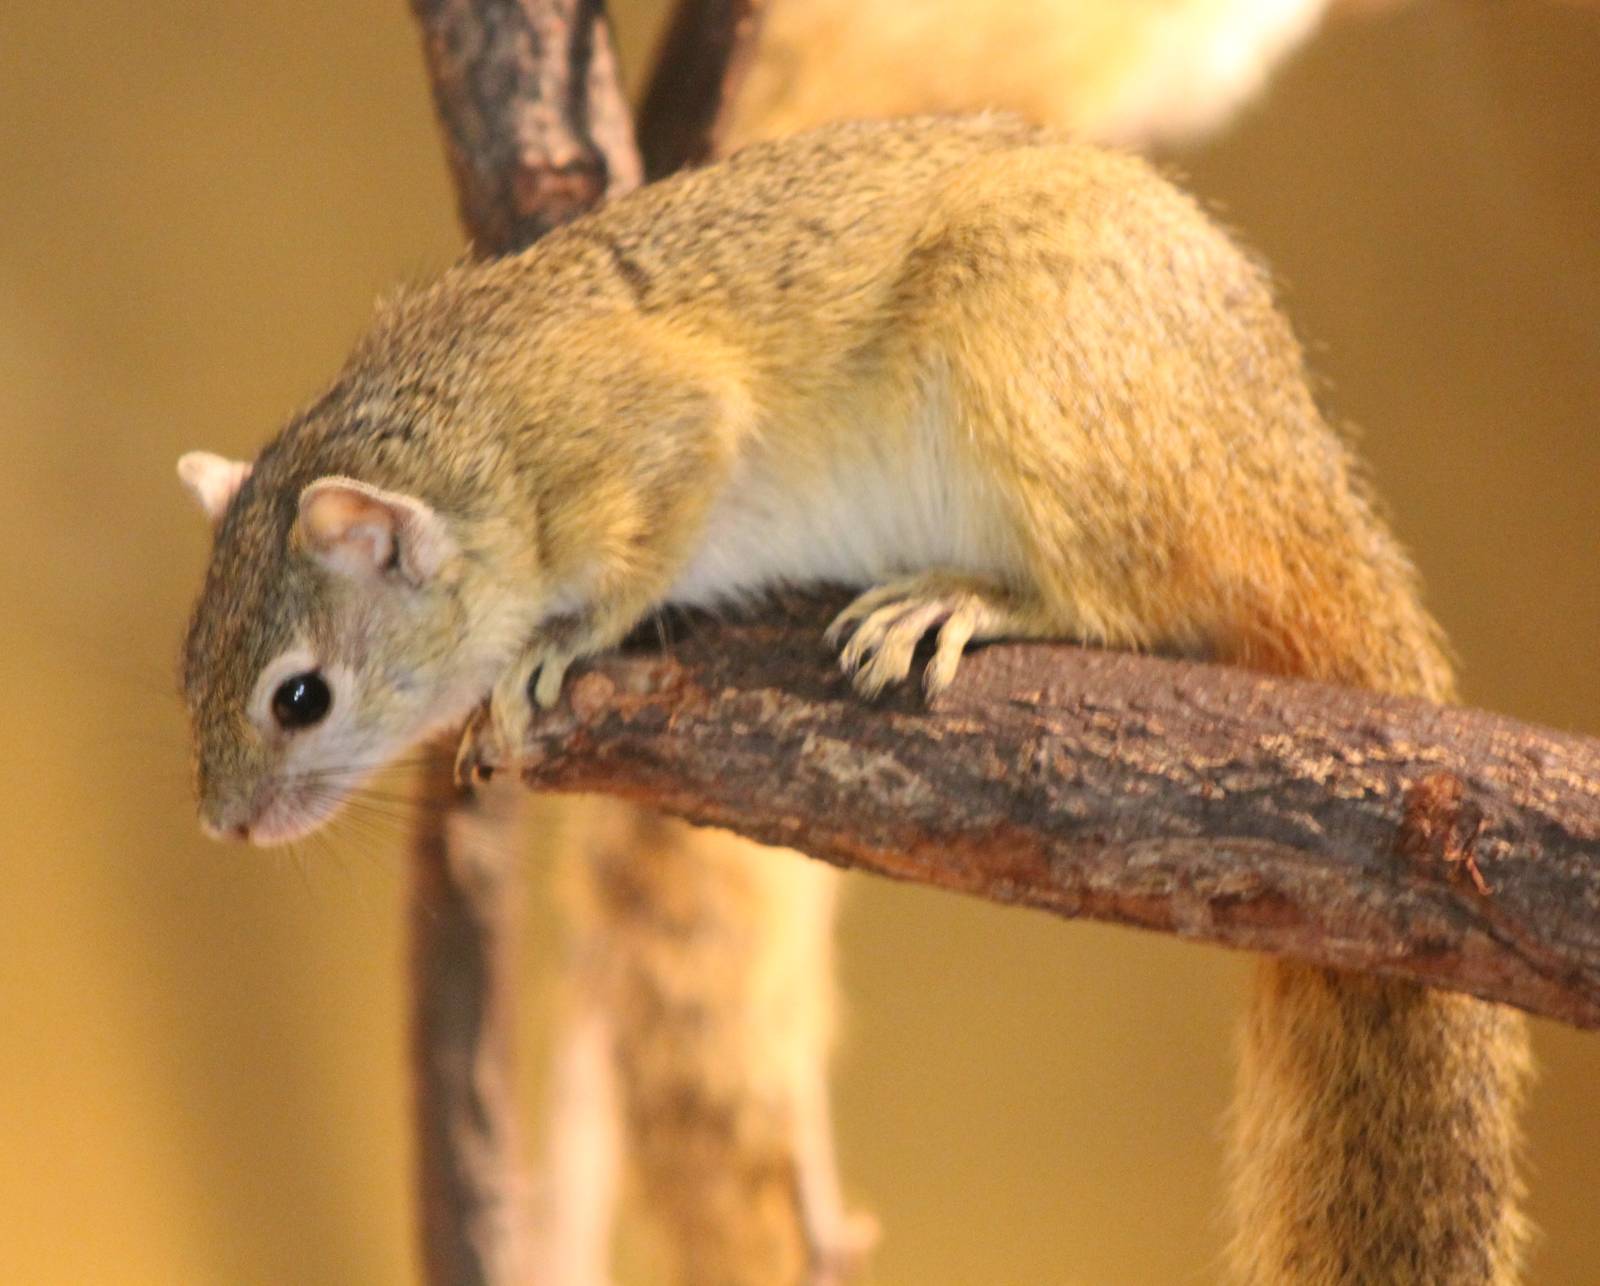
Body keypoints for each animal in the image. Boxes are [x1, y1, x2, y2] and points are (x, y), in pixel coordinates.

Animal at [178, 113, 1530, 1282]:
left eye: (300, 696)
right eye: (188, 663)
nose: (223, 825)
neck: (460, 432)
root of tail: (1292, 476)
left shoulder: (656, 435)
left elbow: (635, 555)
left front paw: (549, 651)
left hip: (1033, 387)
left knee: (1122, 598)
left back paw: (960, 602)